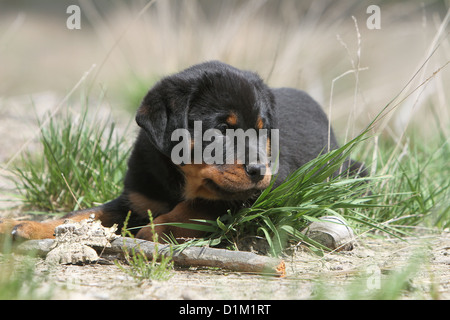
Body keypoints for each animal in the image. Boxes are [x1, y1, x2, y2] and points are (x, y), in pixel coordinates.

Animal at [0, 61, 366, 242]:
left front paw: (155, 229)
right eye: (222, 129)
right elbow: (82, 215)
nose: (259, 171)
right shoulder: (136, 200)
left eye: (263, 130)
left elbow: (195, 208)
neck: (181, 179)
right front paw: (27, 225)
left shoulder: (252, 197)